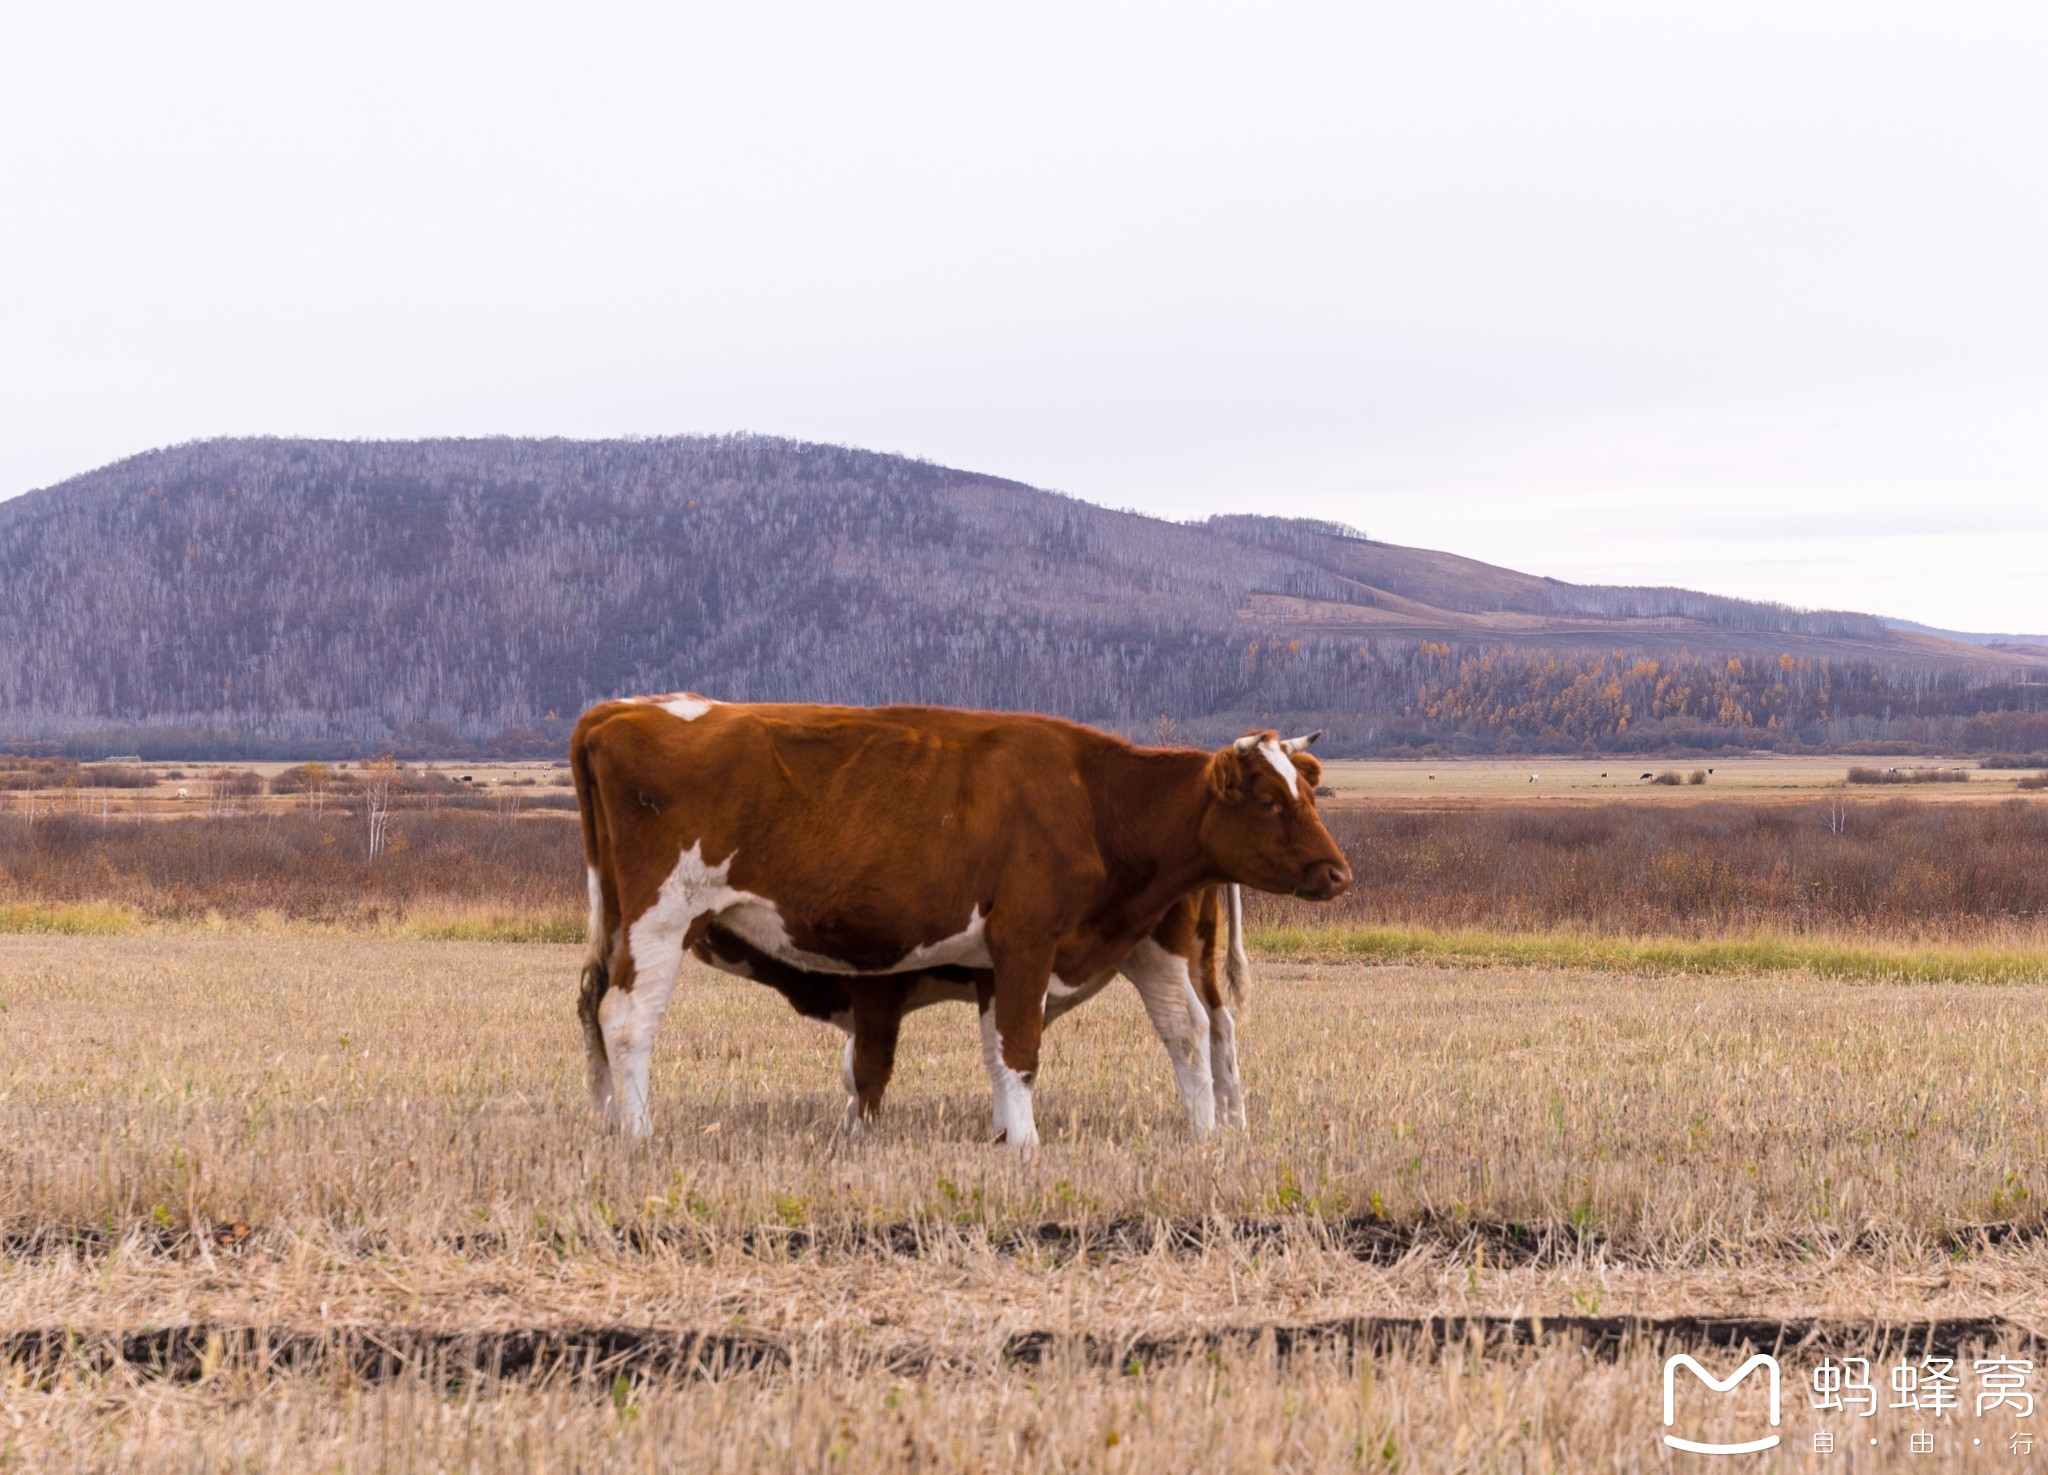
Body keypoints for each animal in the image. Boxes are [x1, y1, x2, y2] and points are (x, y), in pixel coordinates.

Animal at [573, 696, 1343, 1147]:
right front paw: (1025, 1144)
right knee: (626, 1019)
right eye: (1270, 801)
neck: (1091, 798)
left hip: (618, 920)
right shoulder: (1025, 938)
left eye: (1311, 792)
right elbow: (1017, 1047)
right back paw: (638, 1132)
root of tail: (619, 709)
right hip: (660, 917)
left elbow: (1001, 1049)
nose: (1338, 872)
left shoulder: (1051, 948)